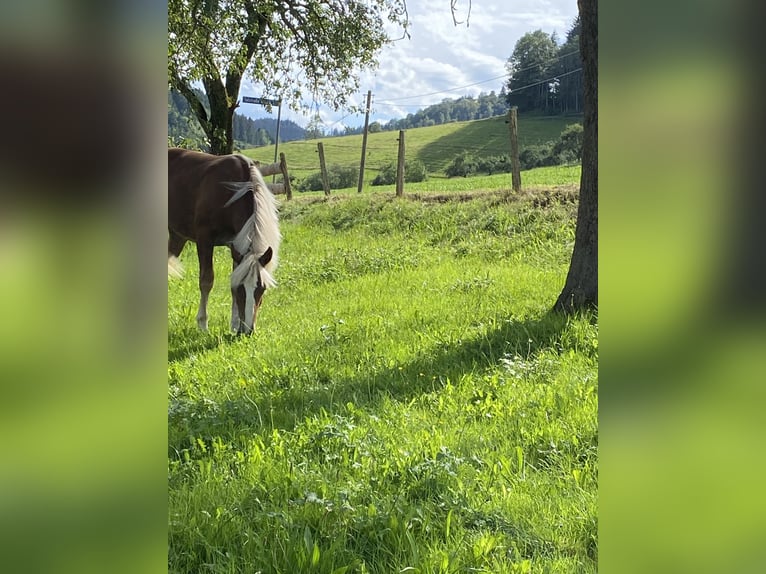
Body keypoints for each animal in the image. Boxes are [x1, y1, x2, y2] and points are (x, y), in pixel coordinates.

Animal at [168, 148, 282, 336]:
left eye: (262, 288)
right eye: (242, 289)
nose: (248, 330)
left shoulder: (236, 246)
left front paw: (235, 324)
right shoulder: (204, 240)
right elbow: (206, 280)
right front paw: (203, 324)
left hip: (177, 236)